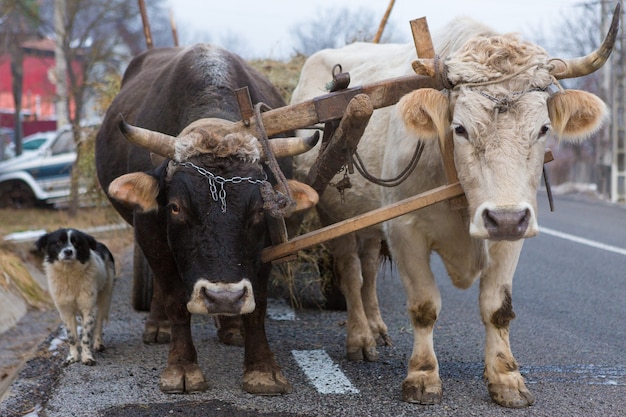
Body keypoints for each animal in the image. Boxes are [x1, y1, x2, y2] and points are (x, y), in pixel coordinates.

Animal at [35, 228, 116, 364]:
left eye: (76, 243)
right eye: (58, 242)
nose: (68, 251)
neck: (69, 273)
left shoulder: (89, 308)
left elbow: (86, 337)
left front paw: (87, 357)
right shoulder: (66, 311)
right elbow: (72, 337)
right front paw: (73, 357)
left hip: (105, 297)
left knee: (99, 323)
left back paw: (98, 344)